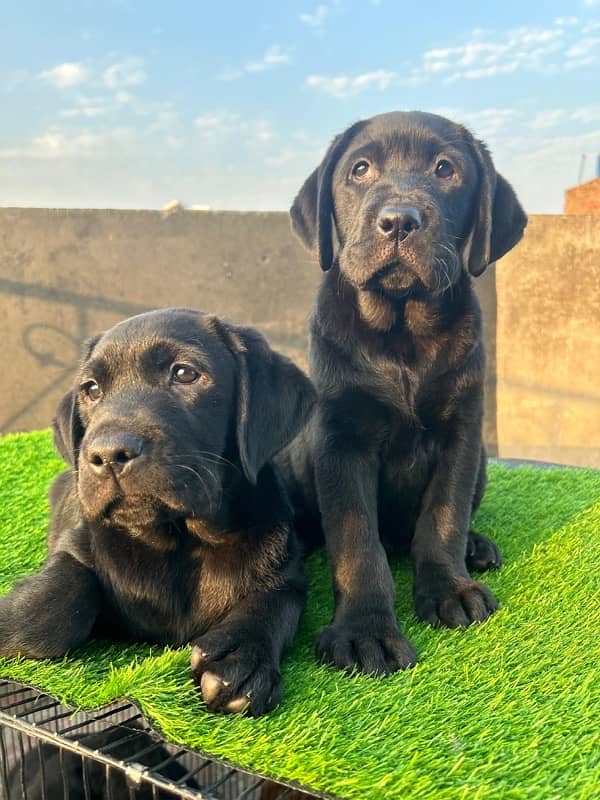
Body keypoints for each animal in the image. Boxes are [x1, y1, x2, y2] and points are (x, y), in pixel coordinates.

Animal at [0, 310, 316, 716]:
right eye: (91, 389)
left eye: (184, 373)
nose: (107, 454)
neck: (179, 540)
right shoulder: (76, 546)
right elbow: (52, 604)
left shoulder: (286, 571)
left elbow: (273, 602)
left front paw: (240, 655)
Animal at [282, 111, 524, 676]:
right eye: (360, 169)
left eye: (445, 169)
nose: (398, 220)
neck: (402, 329)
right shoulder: (342, 441)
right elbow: (357, 543)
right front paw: (364, 630)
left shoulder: (462, 433)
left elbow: (444, 516)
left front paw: (449, 589)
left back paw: (476, 547)